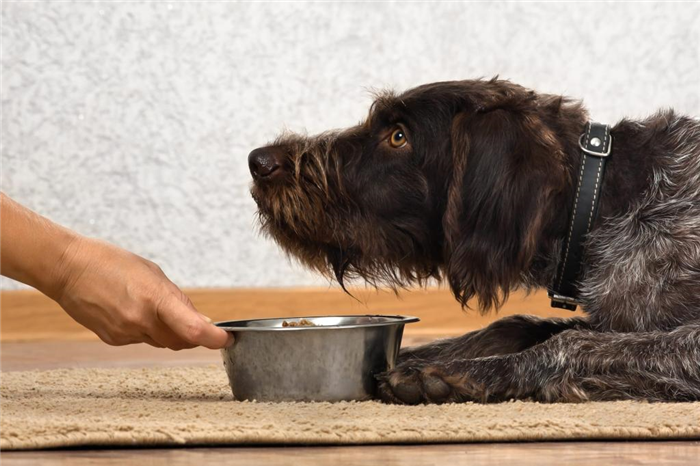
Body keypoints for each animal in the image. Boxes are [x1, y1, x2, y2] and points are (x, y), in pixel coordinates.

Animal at [247, 78, 700, 402]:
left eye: (398, 136)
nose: (258, 161)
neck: (599, 201)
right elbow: (516, 324)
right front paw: (414, 355)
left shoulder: (683, 343)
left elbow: (572, 342)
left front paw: (457, 373)